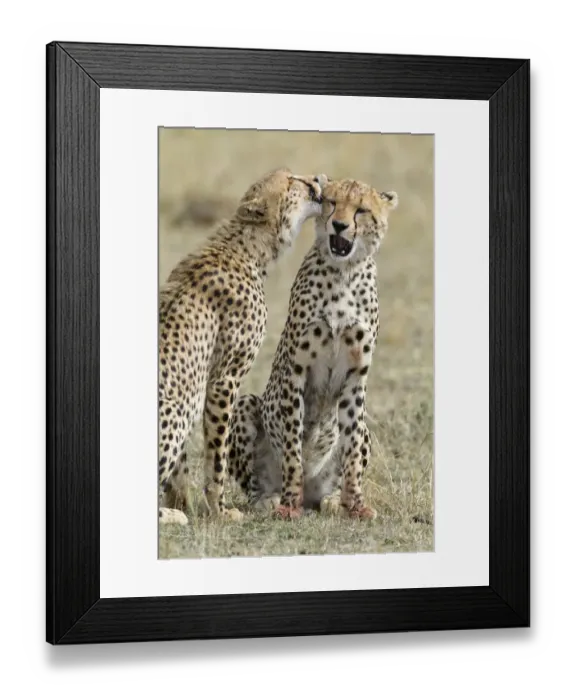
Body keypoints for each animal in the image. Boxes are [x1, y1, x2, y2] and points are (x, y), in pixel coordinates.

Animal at [158, 167, 327, 526]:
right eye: (292, 180)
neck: (245, 247)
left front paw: (183, 503)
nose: (319, 178)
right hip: (175, 411)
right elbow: (217, 457)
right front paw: (219, 511)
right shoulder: (224, 379)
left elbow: (181, 470)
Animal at [228, 177, 398, 520]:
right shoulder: (296, 370)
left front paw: (354, 505)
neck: (343, 273)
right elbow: (293, 447)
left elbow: (351, 451)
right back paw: (270, 499)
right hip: (246, 405)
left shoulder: (355, 378)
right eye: (331, 203)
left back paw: (331, 499)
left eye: (361, 209)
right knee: (253, 483)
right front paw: (288, 504)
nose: (340, 225)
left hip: (364, 431)